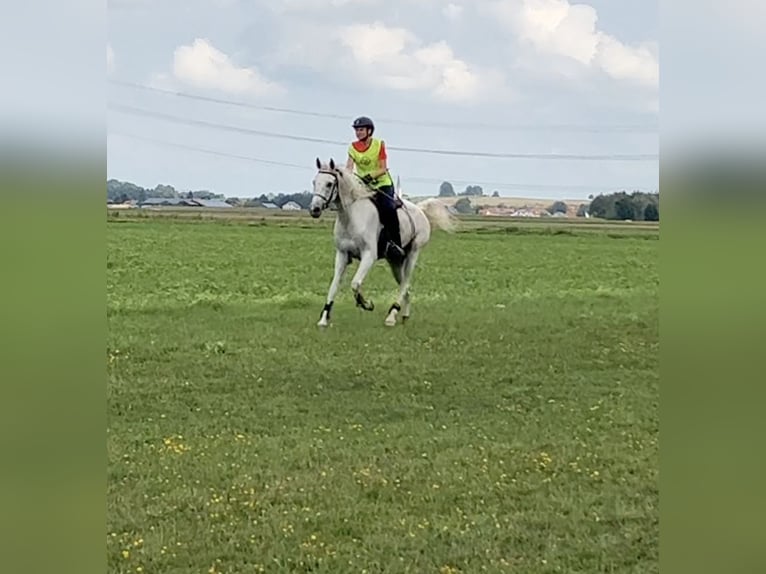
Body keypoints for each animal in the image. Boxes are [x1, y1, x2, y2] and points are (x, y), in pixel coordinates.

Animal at [310, 158, 456, 328]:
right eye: (314, 182)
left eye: (329, 184)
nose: (314, 209)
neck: (352, 217)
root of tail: (420, 209)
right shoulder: (342, 255)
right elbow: (334, 286)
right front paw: (324, 318)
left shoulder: (368, 256)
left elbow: (355, 283)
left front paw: (366, 304)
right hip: (395, 261)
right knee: (405, 285)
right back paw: (404, 315)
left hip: (413, 253)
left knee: (405, 283)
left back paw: (392, 315)